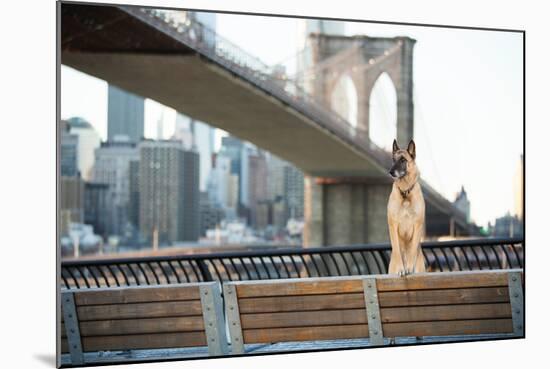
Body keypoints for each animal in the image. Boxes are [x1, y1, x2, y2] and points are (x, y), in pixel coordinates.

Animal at [388, 139, 426, 274]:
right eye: (393, 159)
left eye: (403, 160)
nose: (391, 172)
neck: (405, 193)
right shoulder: (393, 225)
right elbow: (397, 249)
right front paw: (401, 268)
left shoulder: (417, 225)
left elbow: (413, 249)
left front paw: (409, 268)